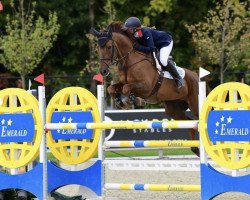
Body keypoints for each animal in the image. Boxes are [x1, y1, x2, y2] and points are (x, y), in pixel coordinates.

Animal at [91, 21, 200, 156]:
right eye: (98, 48)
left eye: (109, 47)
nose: (103, 71)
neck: (129, 61)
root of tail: (196, 76)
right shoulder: (122, 82)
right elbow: (111, 88)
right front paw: (120, 102)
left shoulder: (146, 87)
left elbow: (126, 88)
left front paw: (133, 100)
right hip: (174, 109)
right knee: (190, 123)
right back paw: (195, 149)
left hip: (195, 104)